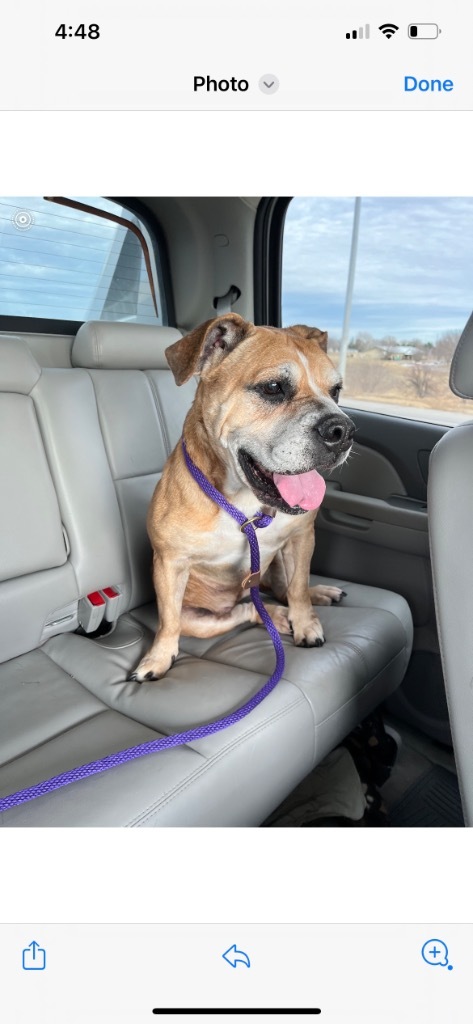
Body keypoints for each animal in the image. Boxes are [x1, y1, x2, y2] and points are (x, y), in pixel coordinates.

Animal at [129, 311, 354, 679]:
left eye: (336, 391)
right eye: (273, 388)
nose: (343, 429)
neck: (243, 503)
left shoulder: (301, 537)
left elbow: (298, 588)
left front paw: (306, 622)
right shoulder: (169, 563)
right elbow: (168, 623)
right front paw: (158, 658)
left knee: (283, 589)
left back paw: (315, 596)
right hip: (201, 619)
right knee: (244, 611)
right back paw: (277, 616)